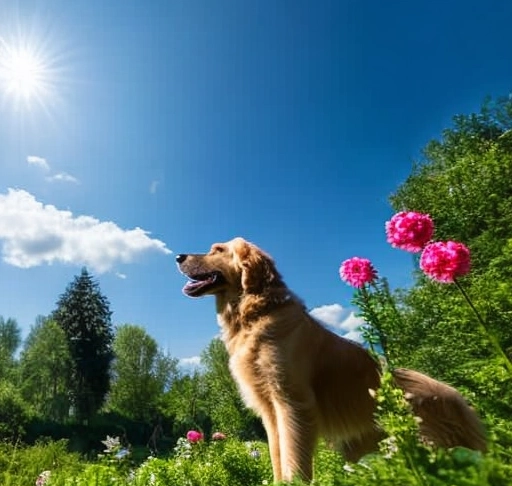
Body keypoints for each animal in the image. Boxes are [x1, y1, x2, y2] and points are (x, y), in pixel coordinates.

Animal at [176, 236, 488, 482]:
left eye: (217, 249)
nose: (178, 256)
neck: (255, 314)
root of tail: (459, 402)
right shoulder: (270, 410)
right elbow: (278, 458)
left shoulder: (292, 403)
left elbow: (294, 462)